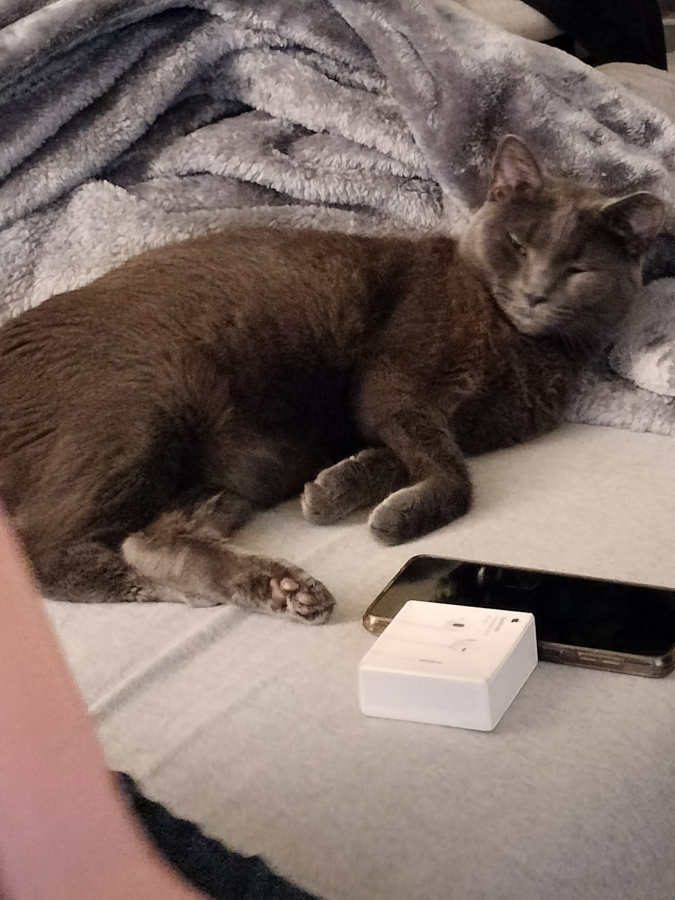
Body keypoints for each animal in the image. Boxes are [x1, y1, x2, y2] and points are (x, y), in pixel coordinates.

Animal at [0, 136, 664, 623]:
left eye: (578, 269)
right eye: (518, 244)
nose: (536, 293)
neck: (523, 347)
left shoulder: (461, 425)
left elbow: (412, 453)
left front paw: (336, 488)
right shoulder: (394, 379)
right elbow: (449, 470)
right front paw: (394, 514)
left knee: (147, 536)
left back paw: (273, 582)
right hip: (141, 407)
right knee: (47, 553)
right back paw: (197, 589)